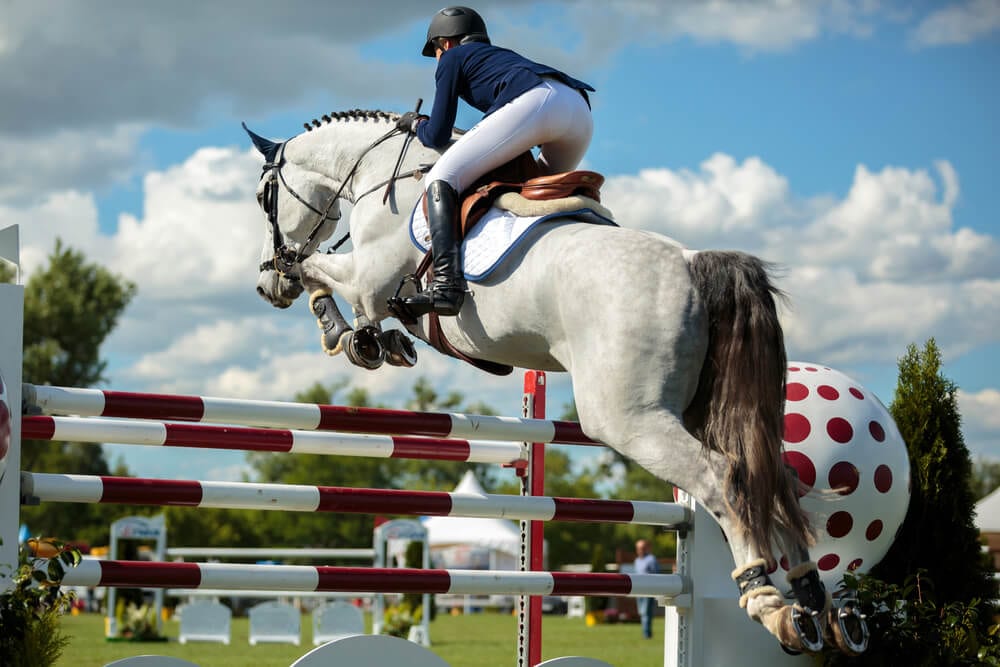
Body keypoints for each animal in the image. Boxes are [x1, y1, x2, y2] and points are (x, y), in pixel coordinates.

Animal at [246, 107, 864, 656]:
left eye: (263, 197)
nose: (263, 286)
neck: (382, 174)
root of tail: (694, 263)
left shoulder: (368, 278)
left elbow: (318, 272)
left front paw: (346, 334)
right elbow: (340, 289)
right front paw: (373, 340)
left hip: (630, 420)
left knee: (723, 478)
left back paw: (768, 603)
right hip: (696, 411)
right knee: (773, 478)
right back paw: (817, 606)